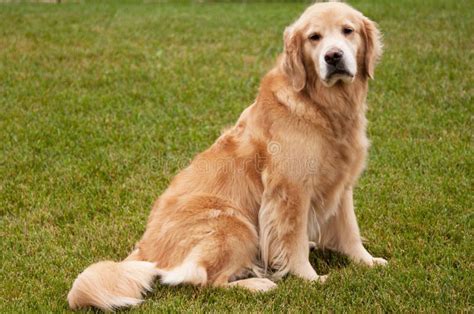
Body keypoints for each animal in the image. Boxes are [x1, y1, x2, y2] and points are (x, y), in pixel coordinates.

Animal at [68, 2, 386, 310]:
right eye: (314, 37)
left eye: (348, 31)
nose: (333, 56)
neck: (323, 107)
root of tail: (146, 249)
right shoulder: (290, 190)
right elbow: (292, 240)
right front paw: (310, 278)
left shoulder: (341, 184)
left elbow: (349, 229)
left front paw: (366, 262)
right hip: (235, 224)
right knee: (206, 281)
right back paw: (257, 284)